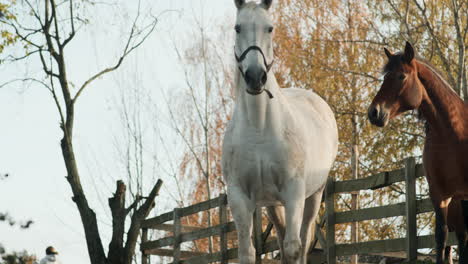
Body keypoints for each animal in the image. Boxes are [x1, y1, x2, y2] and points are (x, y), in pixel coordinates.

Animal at [221, 1, 338, 262]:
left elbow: (294, 248)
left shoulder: (293, 192)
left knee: (302, 242)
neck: (259, 128)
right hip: (272, 204)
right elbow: (247, 252)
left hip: (313, 195)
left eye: (270, 28)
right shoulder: (239, 197)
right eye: (237, 27)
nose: (255, 77)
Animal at [370, 41, 468, 262]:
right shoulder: (440, 196)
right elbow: (441, 238)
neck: (452, 132)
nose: (374, 113)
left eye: (401, 76)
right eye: (385, 77)